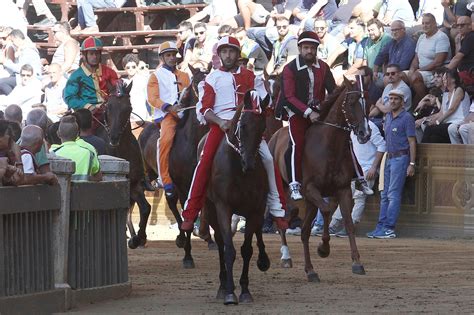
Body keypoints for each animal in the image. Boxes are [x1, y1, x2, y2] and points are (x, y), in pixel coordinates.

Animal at [94, 82, 150, 251]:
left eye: (128, 108)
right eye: (108, 107)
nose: (114, 137)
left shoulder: (135, 184)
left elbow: (145, 208)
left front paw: (138, 238)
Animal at [206, 91, 272, 306]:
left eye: (263, 127)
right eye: (242, 126)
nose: (249, 164)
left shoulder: (255, 209)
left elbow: (246, 250)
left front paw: (244, 290)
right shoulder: (223, 207)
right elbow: (229, 249)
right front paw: (229, 292)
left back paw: (263, 259)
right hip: (210, 210)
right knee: (219, 242)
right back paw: (222, 285)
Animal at [270, 78, 370, 282]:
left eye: (367, 103)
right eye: (351, 102)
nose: (365, 133)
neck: (330, 146)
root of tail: (274, 137)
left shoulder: (342, 190)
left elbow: (347, 222)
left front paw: (356, 262)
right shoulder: (310, 190)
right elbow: (324, 213)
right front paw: (323, 249)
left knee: (299, 224)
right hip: (281, 189)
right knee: (281, 218)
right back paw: (286, 256)